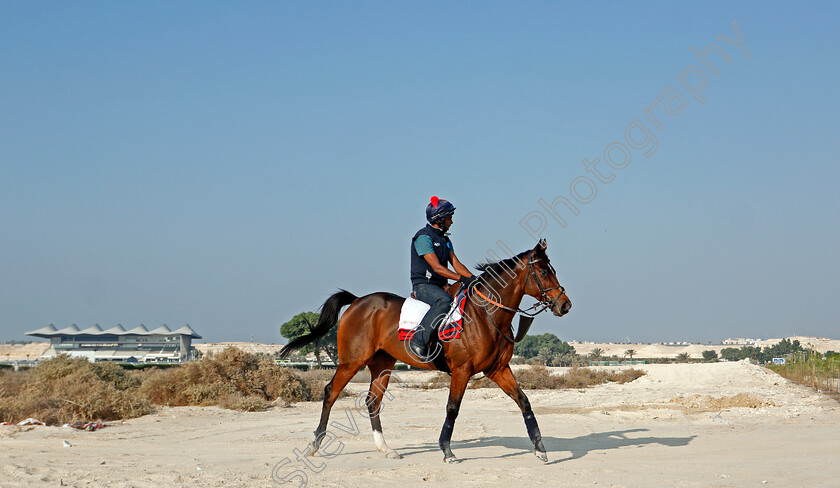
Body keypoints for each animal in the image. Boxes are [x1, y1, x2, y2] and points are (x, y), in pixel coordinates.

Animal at [280, 238, 572, 464]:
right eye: (543, 272)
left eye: (553, 270)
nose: (564, 305)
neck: (486, 315)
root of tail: (357, 301)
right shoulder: (462, 370)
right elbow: (452, 408)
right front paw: (447, 451)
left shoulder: (498, 369)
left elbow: (524, 401)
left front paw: (540, 449)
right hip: (352, 361)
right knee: (331, 392)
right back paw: (315, 444)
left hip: (382, 365)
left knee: (373, 401)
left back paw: (385, 449)